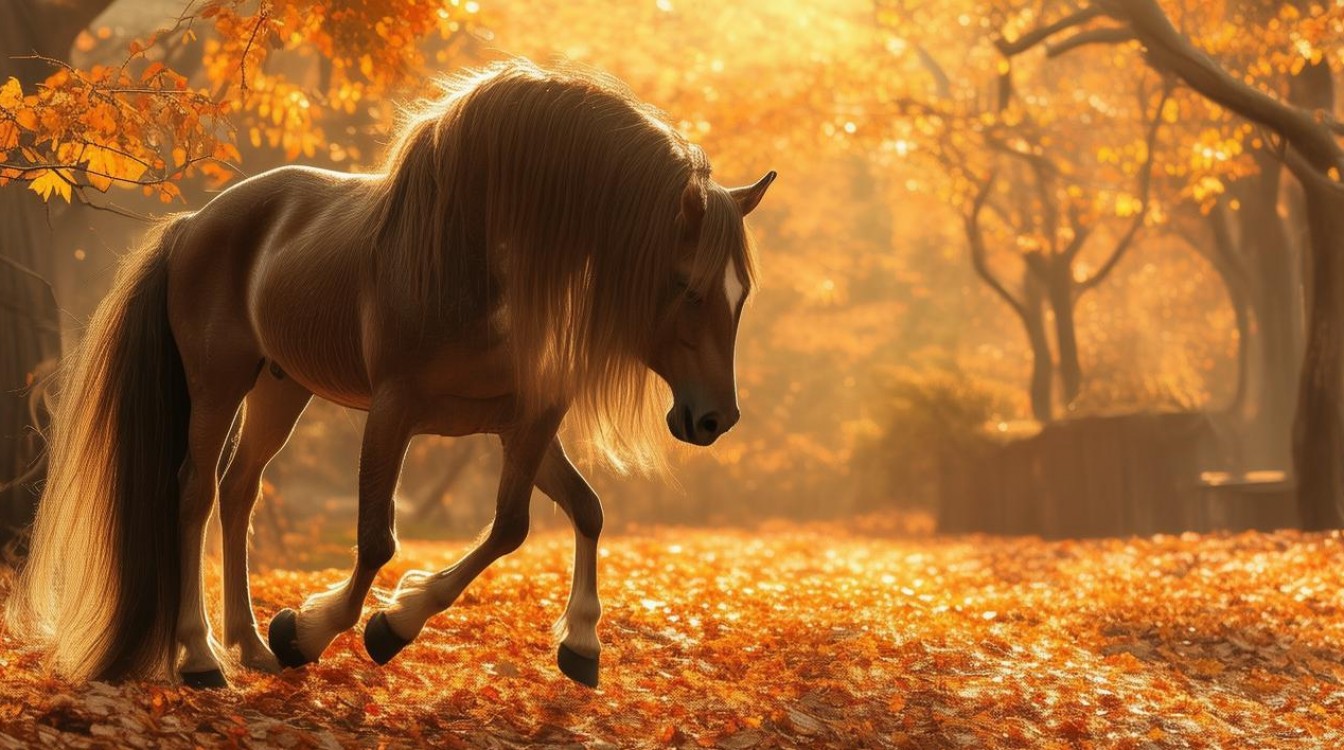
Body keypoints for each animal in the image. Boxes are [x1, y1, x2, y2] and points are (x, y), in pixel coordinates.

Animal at [7, 59, 774, 690]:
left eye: (741, 295)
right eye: (687, 286)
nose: (714, 418)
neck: (482, 255)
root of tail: (196, 223)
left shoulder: (522, 423)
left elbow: (545, 518)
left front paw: (575, 641)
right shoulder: (394, 411)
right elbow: (380, 538)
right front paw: (320, 629)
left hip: (280, 388)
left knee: (238, 489)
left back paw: (249, 645)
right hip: (217, 384)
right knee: (194, 492)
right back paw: (202, 657)